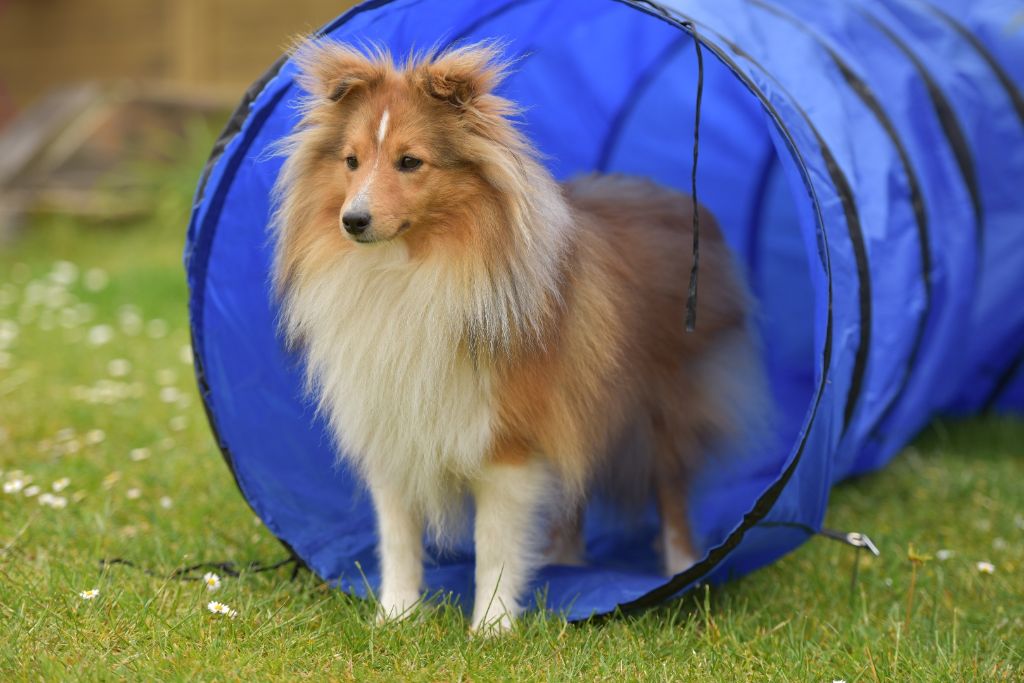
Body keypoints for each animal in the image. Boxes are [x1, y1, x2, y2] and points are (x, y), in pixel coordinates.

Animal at [272, 40, 770, 634]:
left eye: (410, 161)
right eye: (350, 161)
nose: (354, 220)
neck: (410, 269)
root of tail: (678, 201)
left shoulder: (508, 440)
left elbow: (494, 543)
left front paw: (490, 627)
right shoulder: (393, 424)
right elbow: (397, 534)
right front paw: (395, 617)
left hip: (662, 411)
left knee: (670, 492)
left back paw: (682, 568)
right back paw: (564, 560)